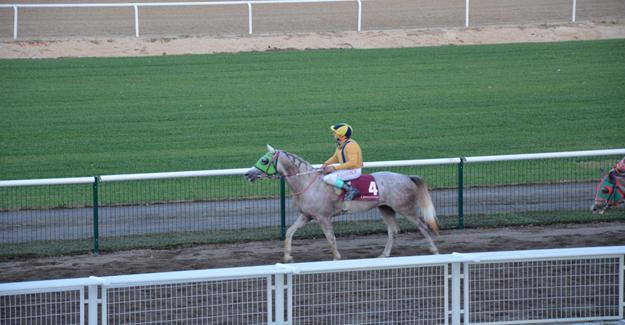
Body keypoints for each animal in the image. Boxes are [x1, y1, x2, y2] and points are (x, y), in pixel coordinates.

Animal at [244, 144, 438, 260]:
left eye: (264, 160)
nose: (247, 174)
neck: (307, 183)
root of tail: (407, 177)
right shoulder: (306, 216)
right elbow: (290, 232)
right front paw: (287, 257)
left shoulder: (323, 217)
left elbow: (331, 238)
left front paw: (337, 257)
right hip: (385, 208)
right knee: (393, 230)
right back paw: (384, 254)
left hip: (406, 209)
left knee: (422, 226)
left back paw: (434, 250)